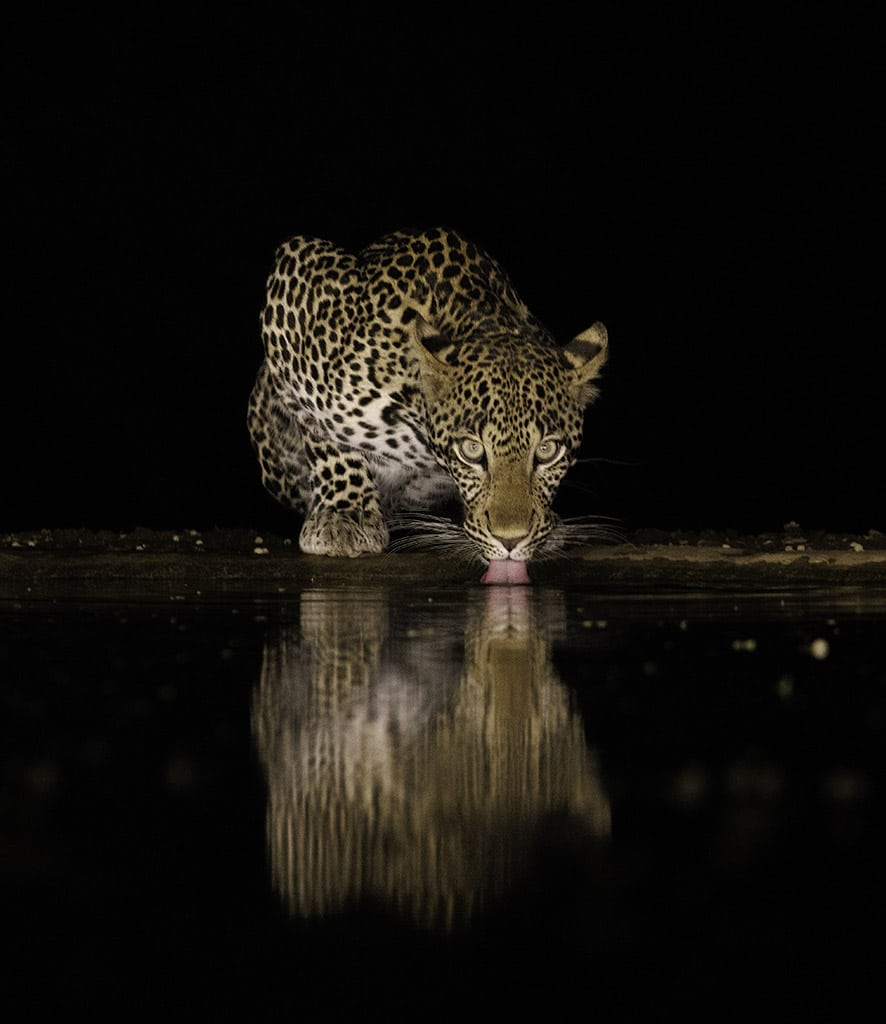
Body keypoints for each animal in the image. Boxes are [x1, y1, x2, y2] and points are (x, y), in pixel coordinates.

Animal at [248, 227, 606, 581]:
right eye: (471, 450)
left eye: (547, 451)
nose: (510, 540)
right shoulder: (295, 279)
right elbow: (323, 433)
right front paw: (344, 514)